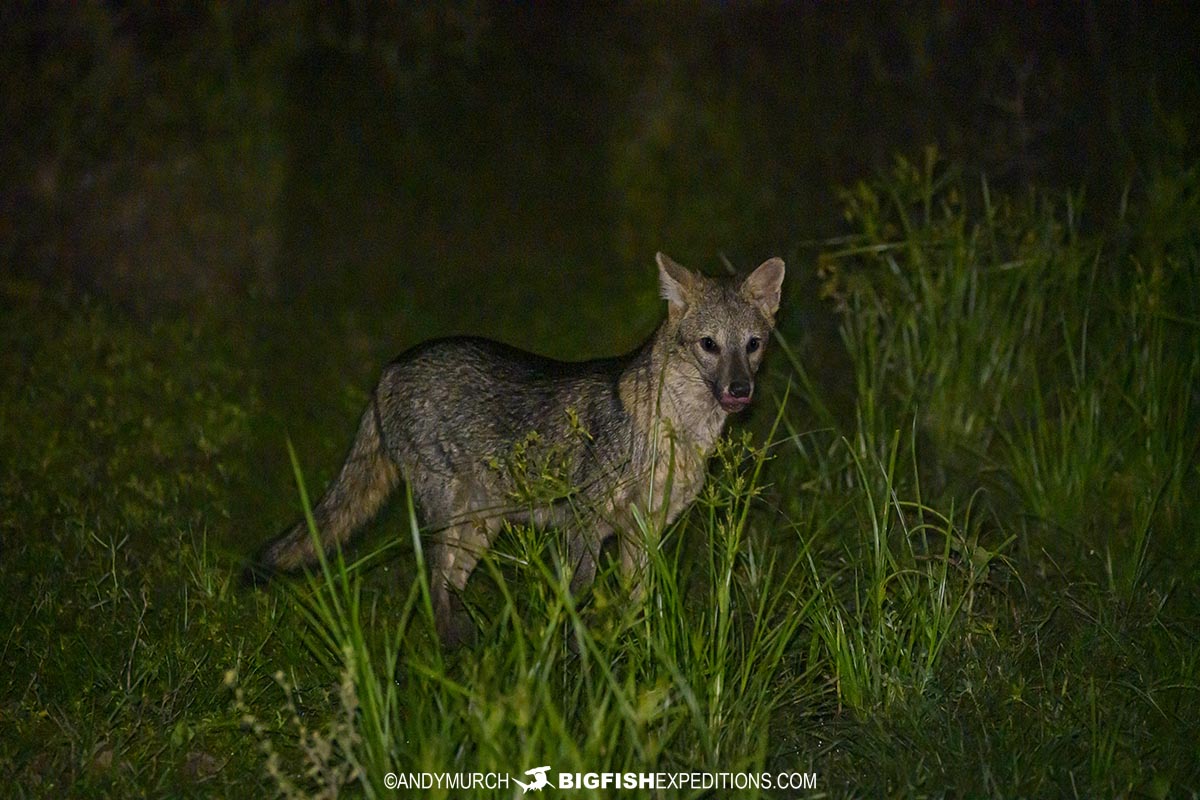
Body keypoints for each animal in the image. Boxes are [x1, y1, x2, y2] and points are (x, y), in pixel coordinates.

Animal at [250, 252, 785, 645]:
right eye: (709, 345)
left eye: (752, 345)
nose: (740, 390)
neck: (677, 432)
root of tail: (392, 366)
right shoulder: (585, 523)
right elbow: (577, 597)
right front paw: (578, 661)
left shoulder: (644, 531)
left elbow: (638, 605)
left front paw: (639, 654)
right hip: (452, 520)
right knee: (431, 587)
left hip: (479, 530)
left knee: (447, 587)